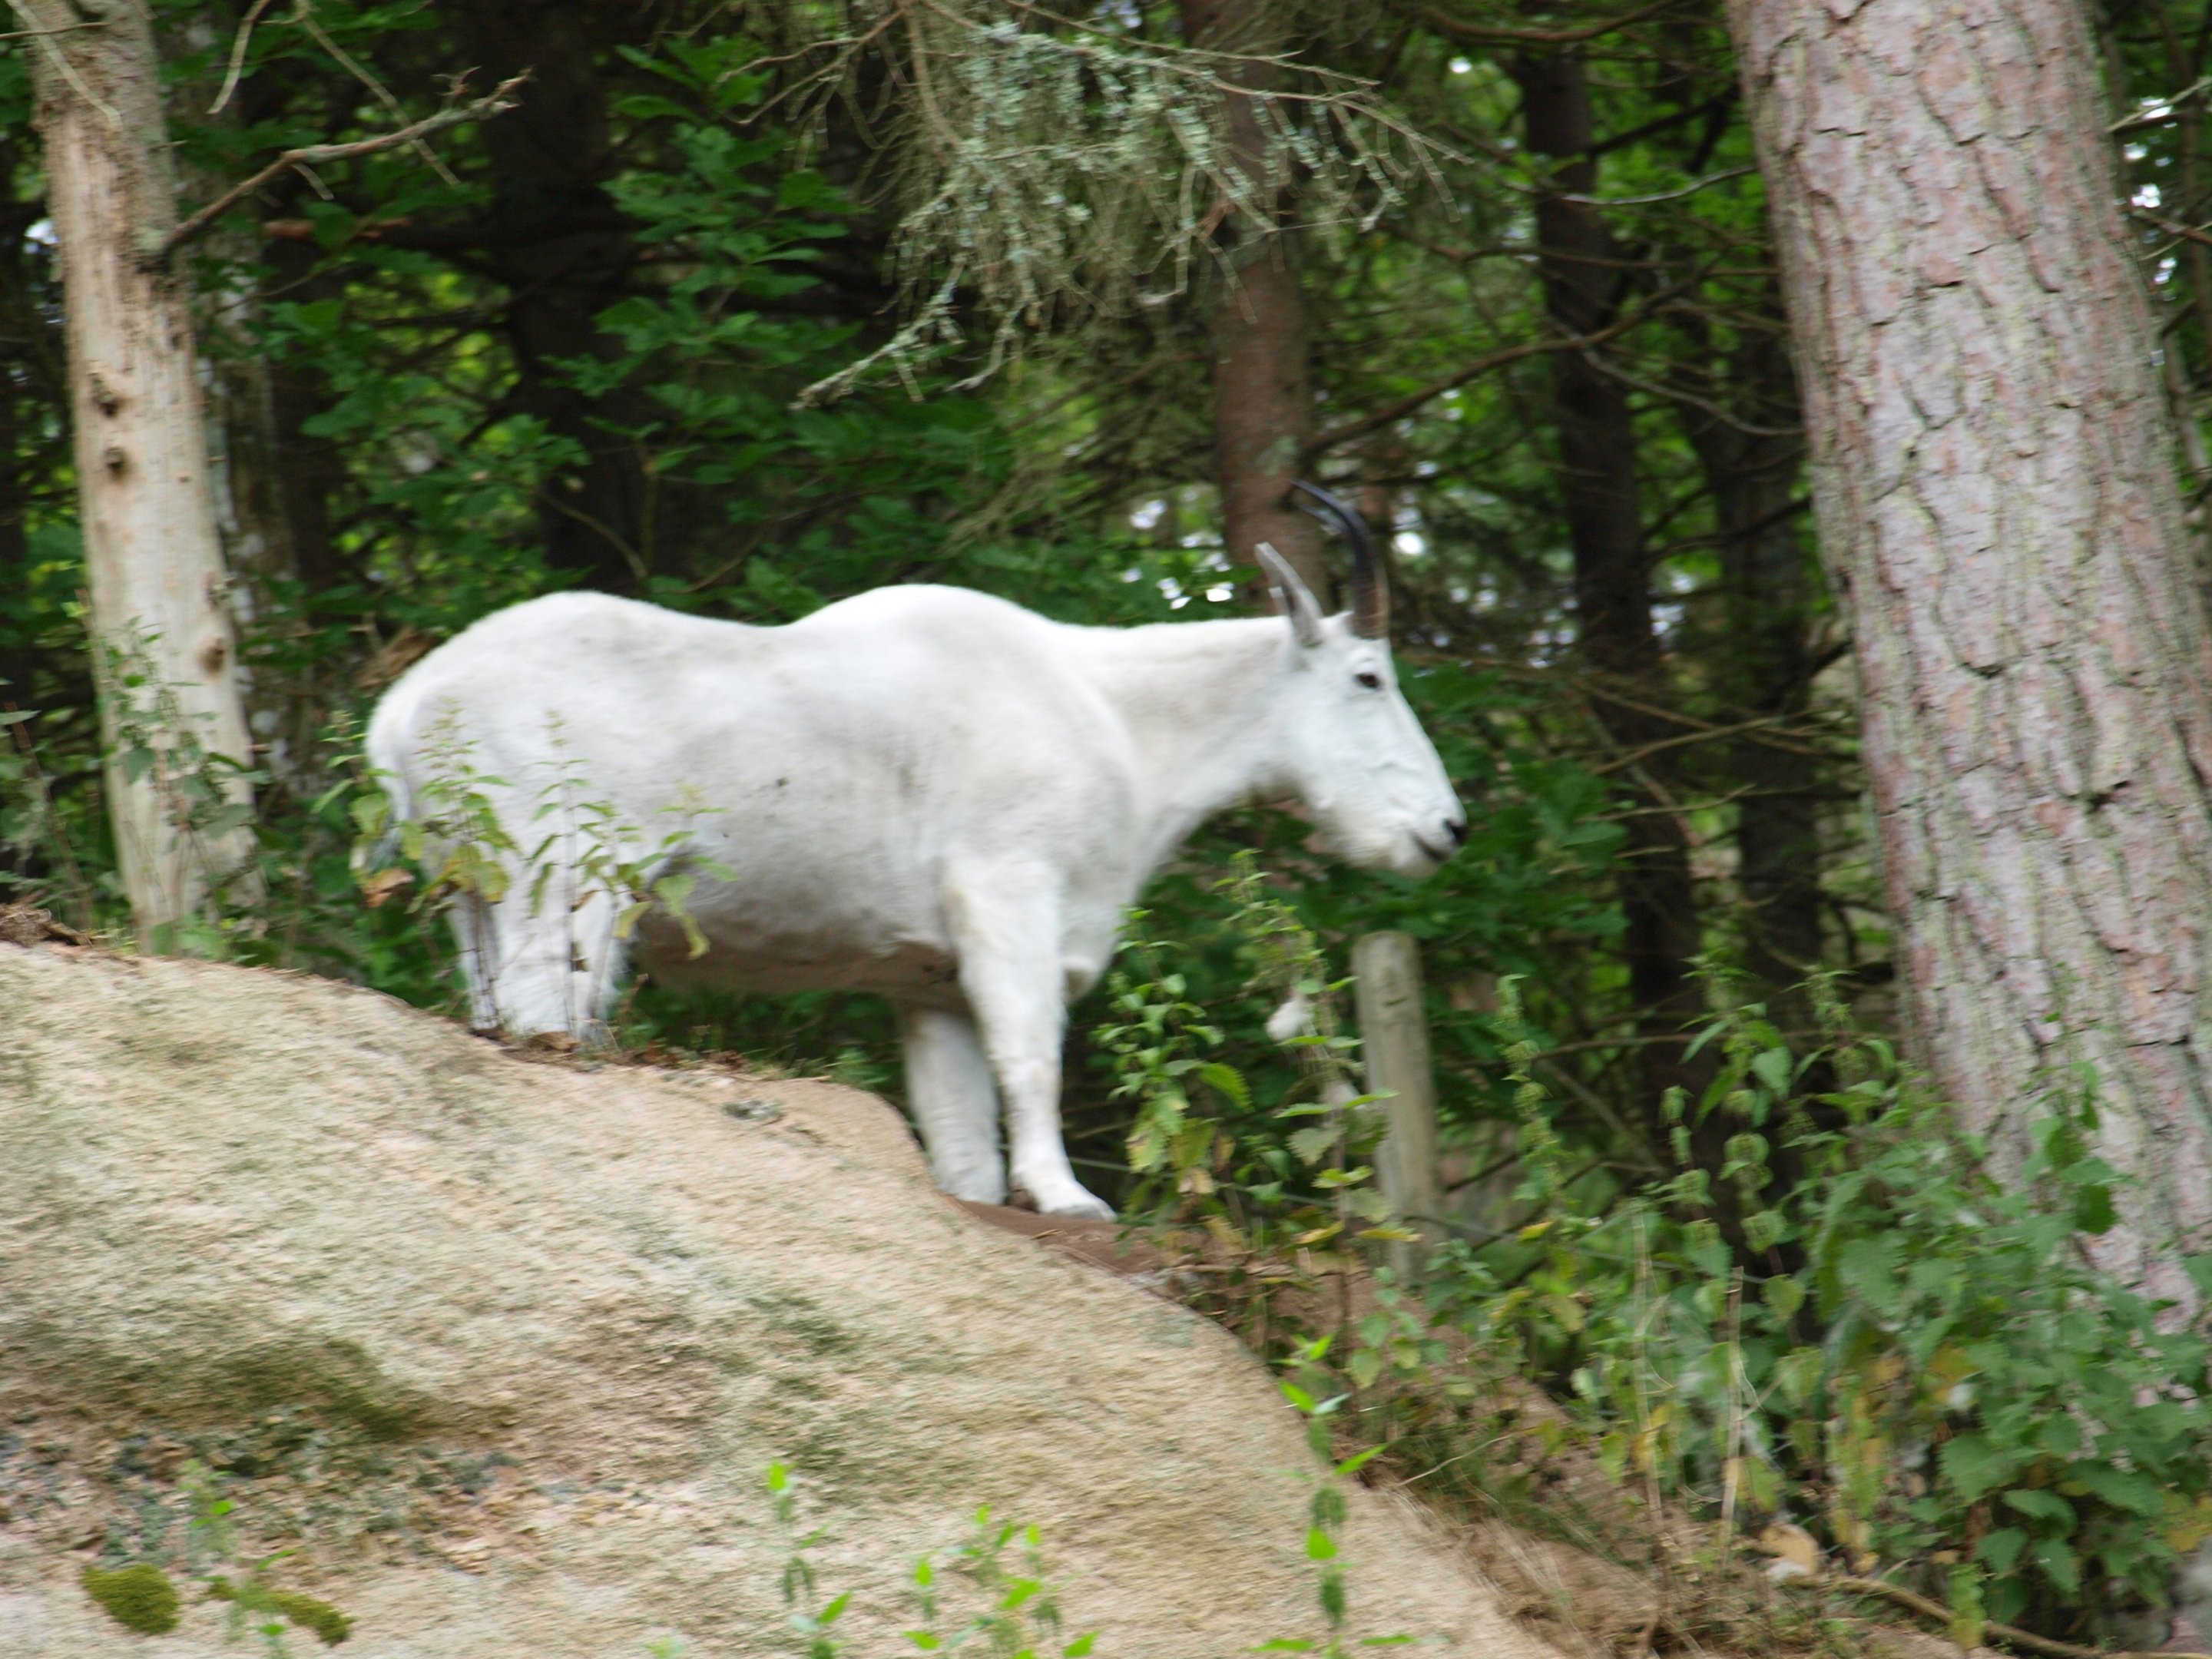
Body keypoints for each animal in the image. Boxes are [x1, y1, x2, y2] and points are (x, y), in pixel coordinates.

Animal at [367, 488, 1464, 1217]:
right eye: (1368, 676)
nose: (1445, 829)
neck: (1116, 716)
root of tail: (405, 717)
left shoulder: (928, 983)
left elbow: (960, 1132)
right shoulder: (1008, 898)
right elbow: (1033, 1061)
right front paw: (1068, 1199)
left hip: (473, 895)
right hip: (563, 883)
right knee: (539, 1013)